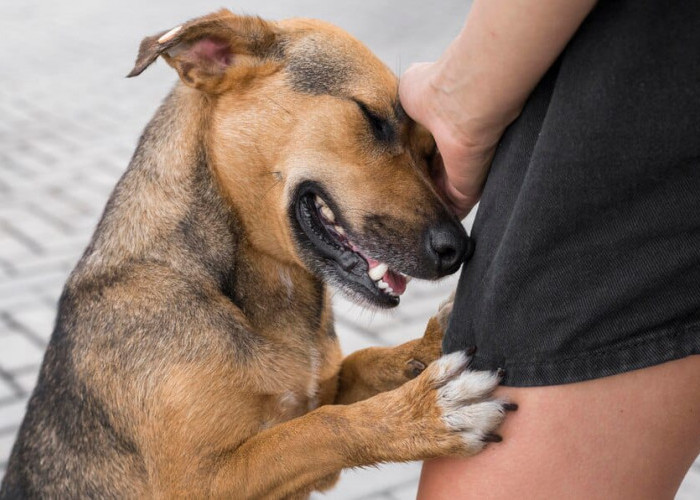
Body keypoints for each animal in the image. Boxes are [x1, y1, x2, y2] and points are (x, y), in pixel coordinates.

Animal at [0, 9, 516, 498]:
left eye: (431, 151)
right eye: (372, 118)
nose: (459, 249)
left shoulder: (322, 387)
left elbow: (365, 362)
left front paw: (428, 345)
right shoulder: (201, 482)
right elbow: (318, 429)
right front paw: (422, 413)